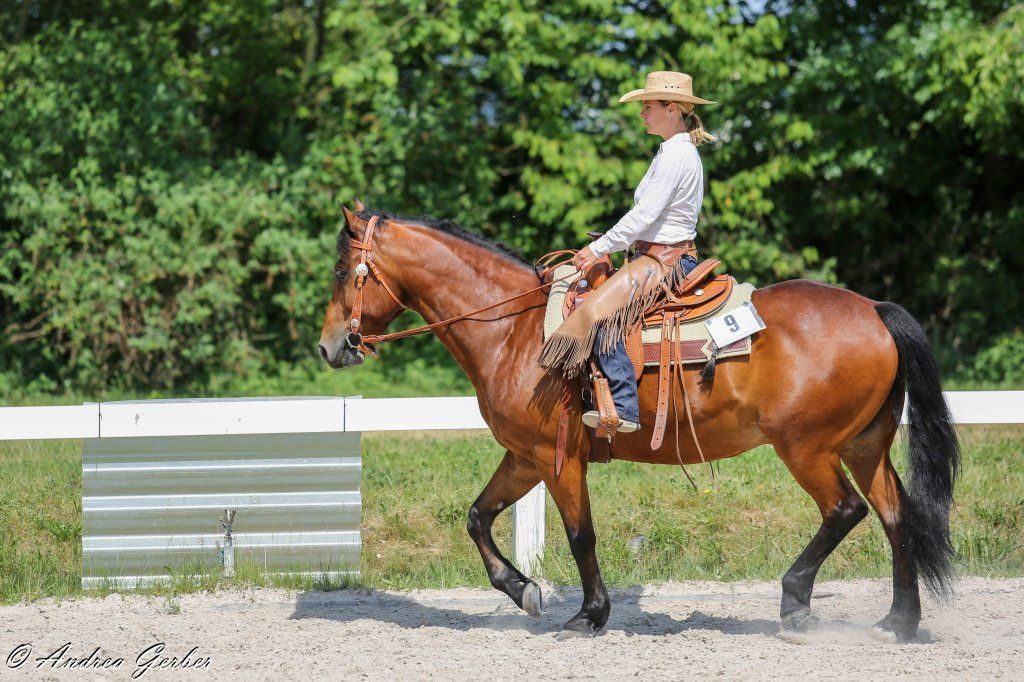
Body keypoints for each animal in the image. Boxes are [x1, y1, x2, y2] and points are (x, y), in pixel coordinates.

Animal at [317, 202, 959, 642]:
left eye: (346, 272)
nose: (329, 347)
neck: (514, 332)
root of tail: (874, 310)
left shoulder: (558, 457)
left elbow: (580, 534)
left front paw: (589, 614)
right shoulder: (524, 456)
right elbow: (478, 517)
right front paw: (523, 591)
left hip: (806, 447)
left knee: (844, 510)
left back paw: (795, 601)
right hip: (862, 446)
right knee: (896, 517)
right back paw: (898, 621)